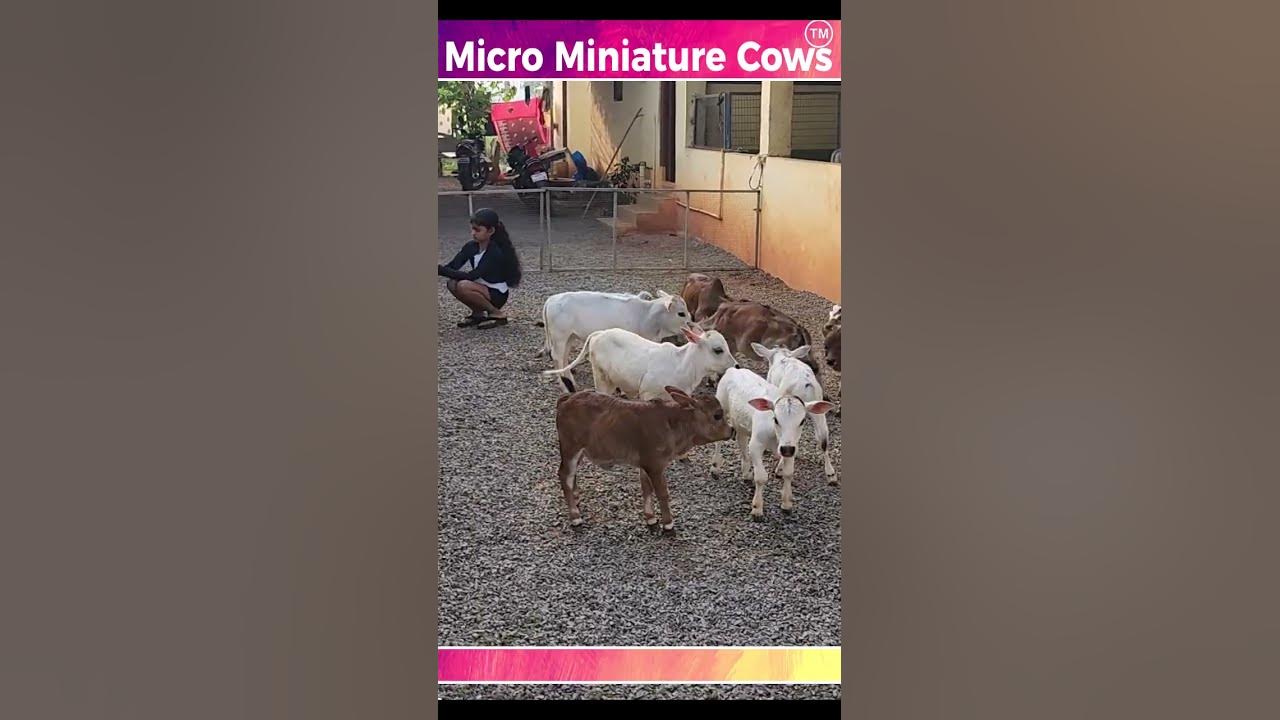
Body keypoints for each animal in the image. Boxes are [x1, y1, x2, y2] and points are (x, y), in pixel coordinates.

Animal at [542, 324, 742, 399]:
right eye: (718, 350)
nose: (737, 366)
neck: (681, 364)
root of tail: (600, 333)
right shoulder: (649, 394)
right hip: (601, 377)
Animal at [545, 289, 696, 392]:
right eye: (681, 313)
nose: (691, 325)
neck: (646, 315)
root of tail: (552, 299)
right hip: (560, 337)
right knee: (557, 357)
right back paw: (565, 386)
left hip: (569, 337)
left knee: (564, 357)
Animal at [552, 384, 732, 530]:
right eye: (717, 415)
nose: (732, 431)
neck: (672, 424)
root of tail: (567, 398)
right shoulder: (655, 465)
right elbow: (661, 492)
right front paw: (668, 522)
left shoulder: (645, 464)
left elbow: (646, 488)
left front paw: (650, 517)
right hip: (570, 447)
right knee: (565, 475)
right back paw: (575, 516)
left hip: (580, 451)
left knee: (572, 475)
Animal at [716, 366, 834, 517]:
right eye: (776, 419)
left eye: (802, 421)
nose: (786, 449)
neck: (775, 436)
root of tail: (733, 369)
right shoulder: (756, 445)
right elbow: (761, 477)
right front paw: (757, 508)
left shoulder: (791, 446)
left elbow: (788, 473)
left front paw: (786, 503)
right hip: (722, 406)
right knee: (719, 439)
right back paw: (715, 467)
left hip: (740, 421)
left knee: (741, 439)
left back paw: (746, 473)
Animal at [757, 340, 839, 481]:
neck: (783, 356)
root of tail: (807, 384)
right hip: (817, 407)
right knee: (823, 438)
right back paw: (831, 474)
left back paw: (779, 469)